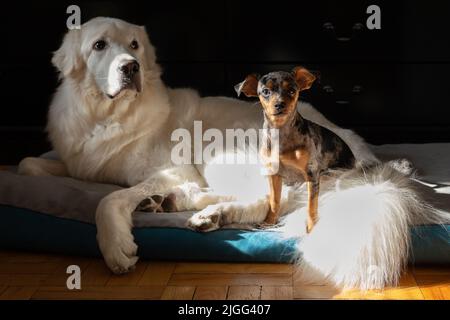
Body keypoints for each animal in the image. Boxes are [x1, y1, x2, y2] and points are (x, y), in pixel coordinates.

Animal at [236, 67, 356, 232]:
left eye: (292, 90)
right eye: (266, 91)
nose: (279, 104)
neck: (281, 131)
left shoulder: (312, 174)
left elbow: (311, 205)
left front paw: (312, 229)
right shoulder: (274, 174)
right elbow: (274, 201)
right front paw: (269, 221)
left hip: (331, 174)